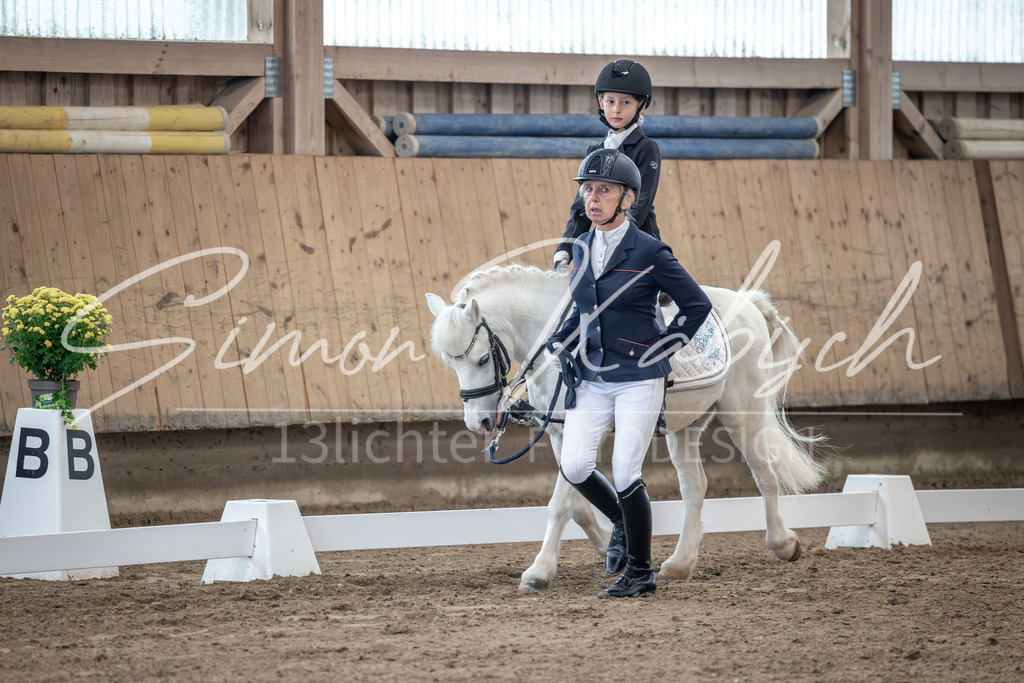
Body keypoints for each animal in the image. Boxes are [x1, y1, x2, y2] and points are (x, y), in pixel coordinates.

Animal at [426, 263, 827, 591]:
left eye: (482, 359)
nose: (479, 422)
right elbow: (581, 502)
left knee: (765, 472)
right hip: (687, 424)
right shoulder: (558, 432)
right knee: (695, 487)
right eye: (450, 363)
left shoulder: (580, 427)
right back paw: (680, 564)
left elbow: (561, 505)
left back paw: (784, 544)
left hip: (742, 410)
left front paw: (538, 572)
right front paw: (612, 546)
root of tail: (748, 303)